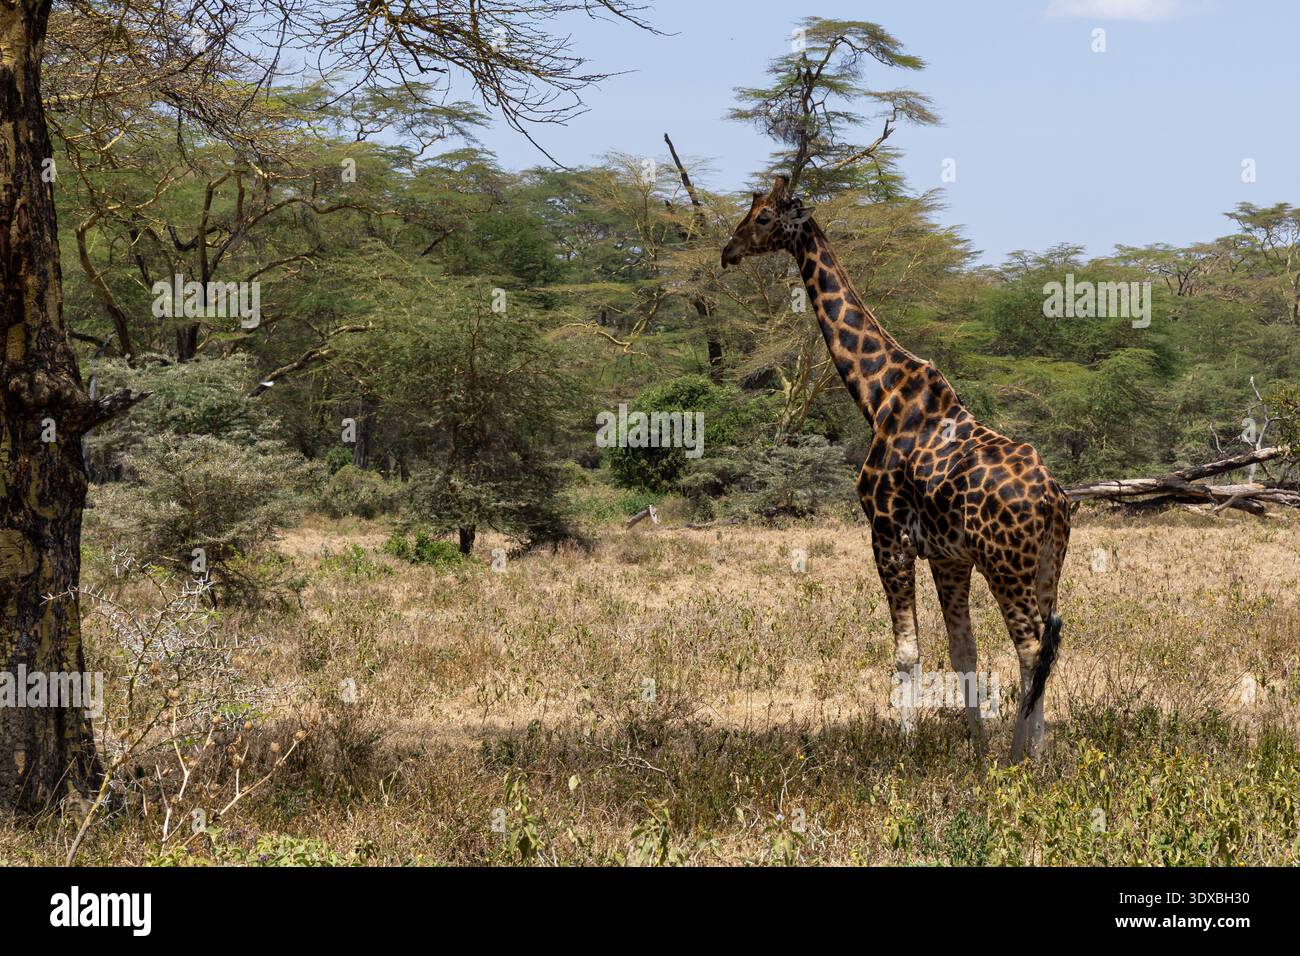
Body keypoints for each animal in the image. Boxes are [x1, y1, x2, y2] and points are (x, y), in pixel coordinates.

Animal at [722, 175, 1070, 760]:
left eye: (765, 216)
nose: (728, 250)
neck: (878, 395)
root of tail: (1052, 499)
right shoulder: (949, 556)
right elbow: (962, 650)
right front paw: (975, 747)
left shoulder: (886, 535)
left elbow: (907, 651)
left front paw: (906, 747)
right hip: (1047, 564)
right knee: (1047, 642)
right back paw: (1024, 751)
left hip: (1007, 565)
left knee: (1029, 648)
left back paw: (1029, 756)